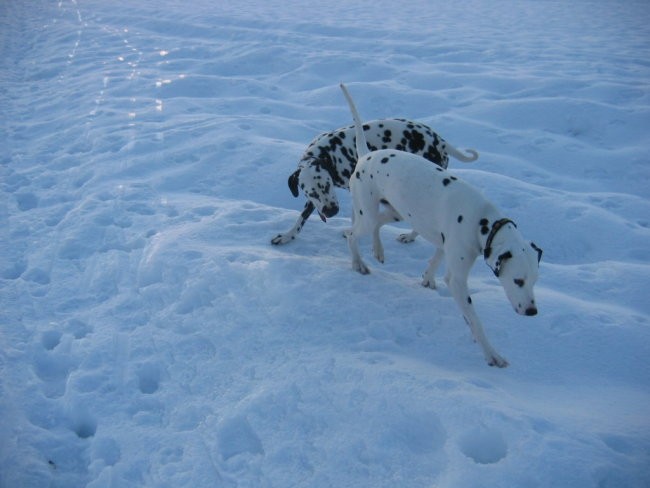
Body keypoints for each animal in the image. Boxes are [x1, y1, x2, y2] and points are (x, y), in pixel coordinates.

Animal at [268, 117, 476, 246]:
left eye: (327, 185)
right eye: (310, 192)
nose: (331, 211)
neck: (330, 152)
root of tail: (440, 141)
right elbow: (301, 218)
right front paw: (287, 236)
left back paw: (410, 236)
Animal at [336, 83, 540, 366]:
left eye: (535, 280)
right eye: (518, 280)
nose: (532, 311)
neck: (481, 221)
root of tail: (367, 155)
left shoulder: (445, 245)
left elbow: (433, 262)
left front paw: (427, 279)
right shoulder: (457, 279)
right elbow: (474, 319)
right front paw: (491, 353)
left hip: (395, 212)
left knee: (376, 225)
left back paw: (378, 250)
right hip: (368, 216)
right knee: (352, 235)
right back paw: (359, 263)